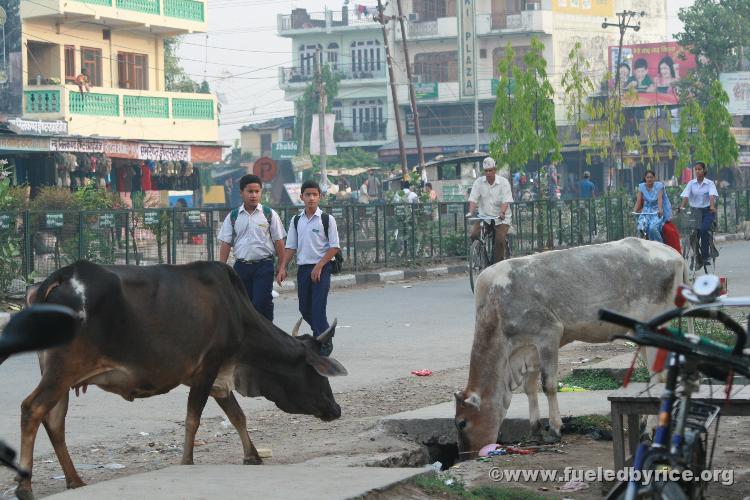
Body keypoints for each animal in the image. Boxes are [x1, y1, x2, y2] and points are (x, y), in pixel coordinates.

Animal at [7, 260, 348, 498]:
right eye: (318, 376)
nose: (336, 410)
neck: (238, 314)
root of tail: (62, 275)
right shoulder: (207, 368)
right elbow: (193, 419)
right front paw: (187, 461)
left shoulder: (218, 378)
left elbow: (237, 417)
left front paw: (252, 456)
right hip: (64, 370)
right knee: (32, 409)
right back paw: (25, 486)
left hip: (59, 375)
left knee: (54, 420)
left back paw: (75, 480)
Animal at [452, 238, 688, 458]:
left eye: (462, 422)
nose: (466, 456)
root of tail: (674, 253)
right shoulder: (530, 349)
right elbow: (530, 388)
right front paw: (535, 430)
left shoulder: (549, 335)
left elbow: (548, 385)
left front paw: (555, 430)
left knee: (658, 377)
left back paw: (649, 431)